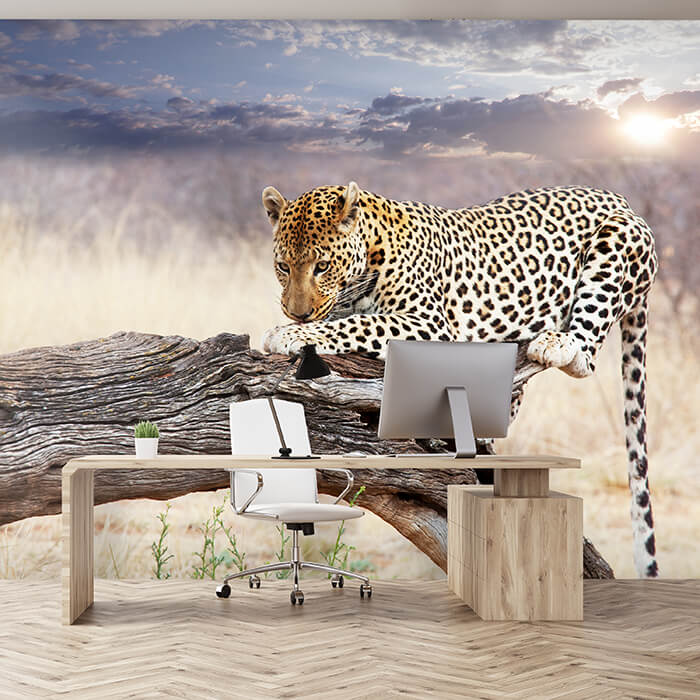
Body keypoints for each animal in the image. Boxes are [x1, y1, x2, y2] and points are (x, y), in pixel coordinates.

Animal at [261, 181, 659, 578]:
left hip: (615, 245)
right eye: (282, 267)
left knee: (585, 356)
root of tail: (620, 199)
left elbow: (356, 324)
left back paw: (556, 344)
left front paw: (289, 334)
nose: (297, 313)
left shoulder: (428, 324)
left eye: (322, 266)